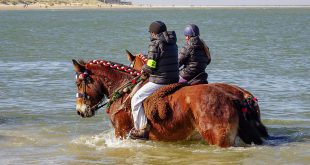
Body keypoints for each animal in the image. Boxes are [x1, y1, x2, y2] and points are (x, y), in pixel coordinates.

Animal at [72, 58, 266, 148]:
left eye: (79, 83)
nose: (80, 111)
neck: (124, 88)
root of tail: (235, 97)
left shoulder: (121, 132)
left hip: (220, 139)